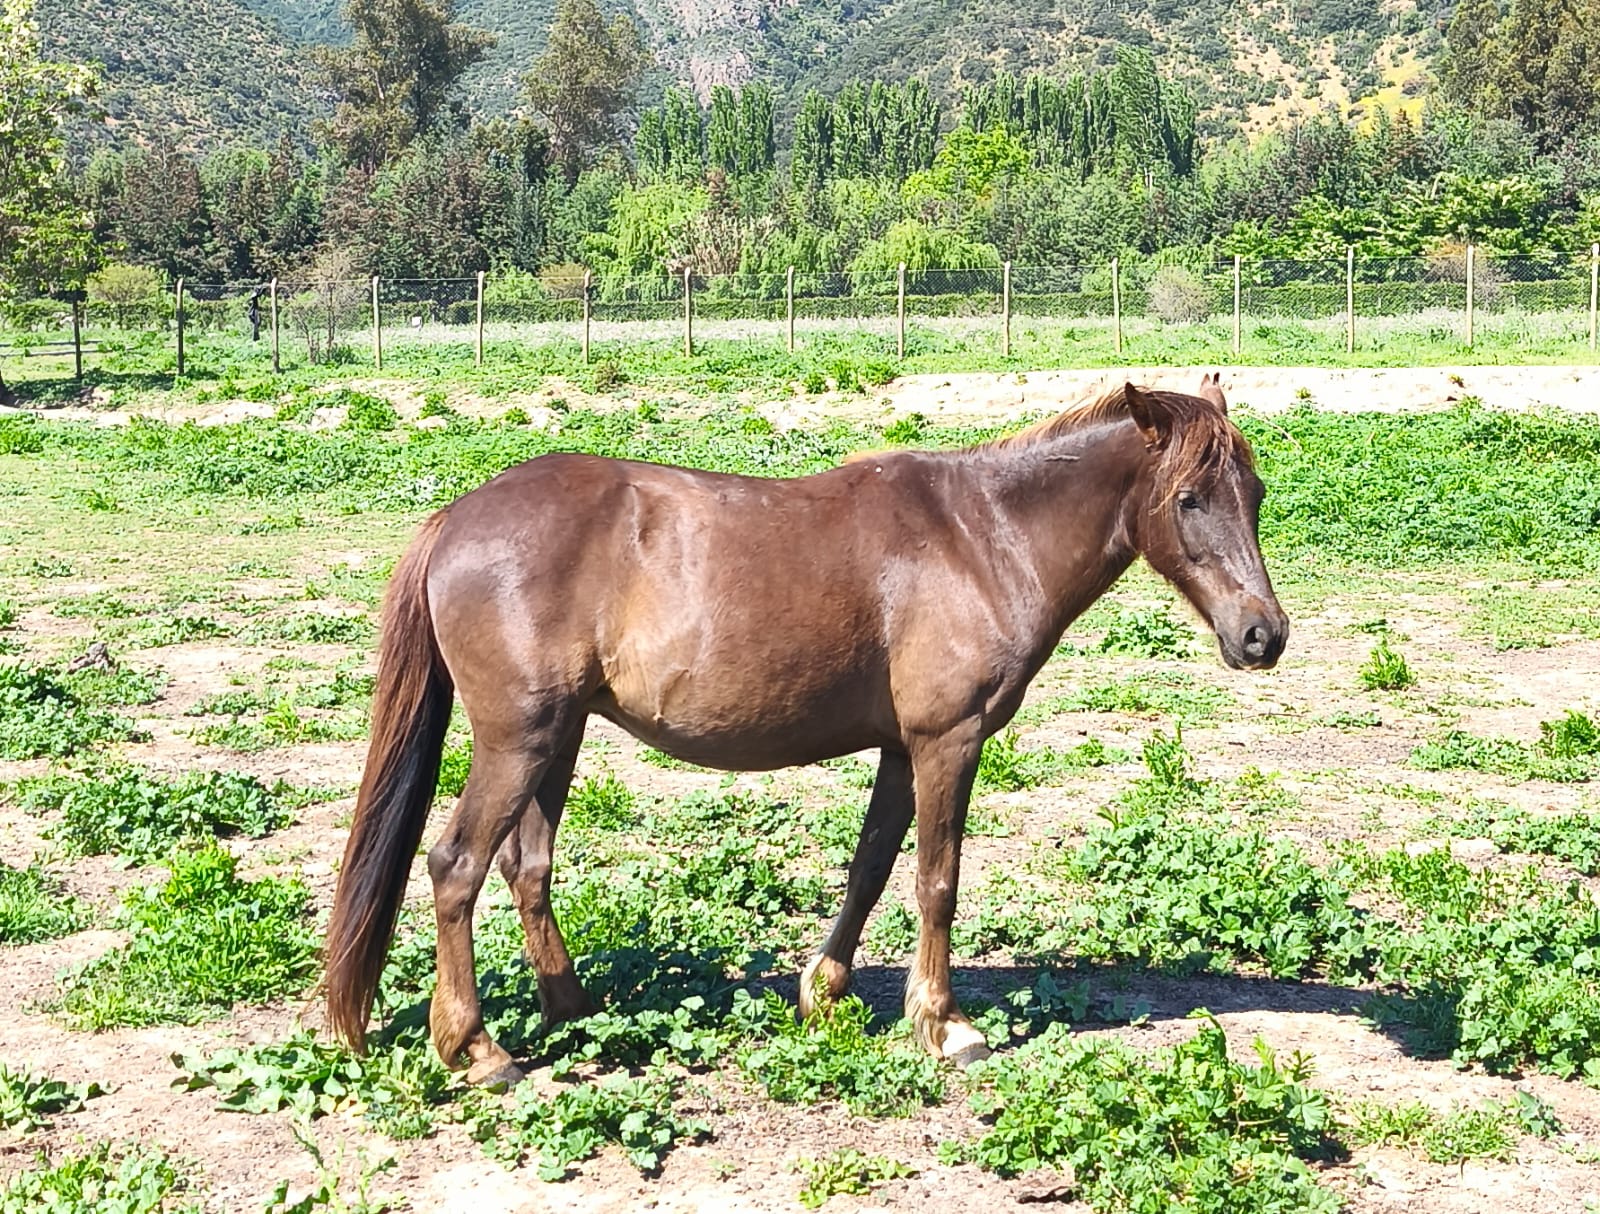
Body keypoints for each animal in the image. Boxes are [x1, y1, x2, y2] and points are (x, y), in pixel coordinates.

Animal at [324, 374, 1288, 1086]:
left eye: (1255, 493)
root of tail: (457, 517)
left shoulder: (902, 748)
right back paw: (476, 1047)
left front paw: (825, 991)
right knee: (456, 866)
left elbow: (870, 870)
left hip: (555, 740)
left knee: (527, 868)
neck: (983, 537)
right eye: (1190, 499)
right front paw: (945, 1025)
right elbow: (937, 881)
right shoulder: (948, 741)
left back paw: (574, 1010)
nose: (1263, 636)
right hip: (517, 741)